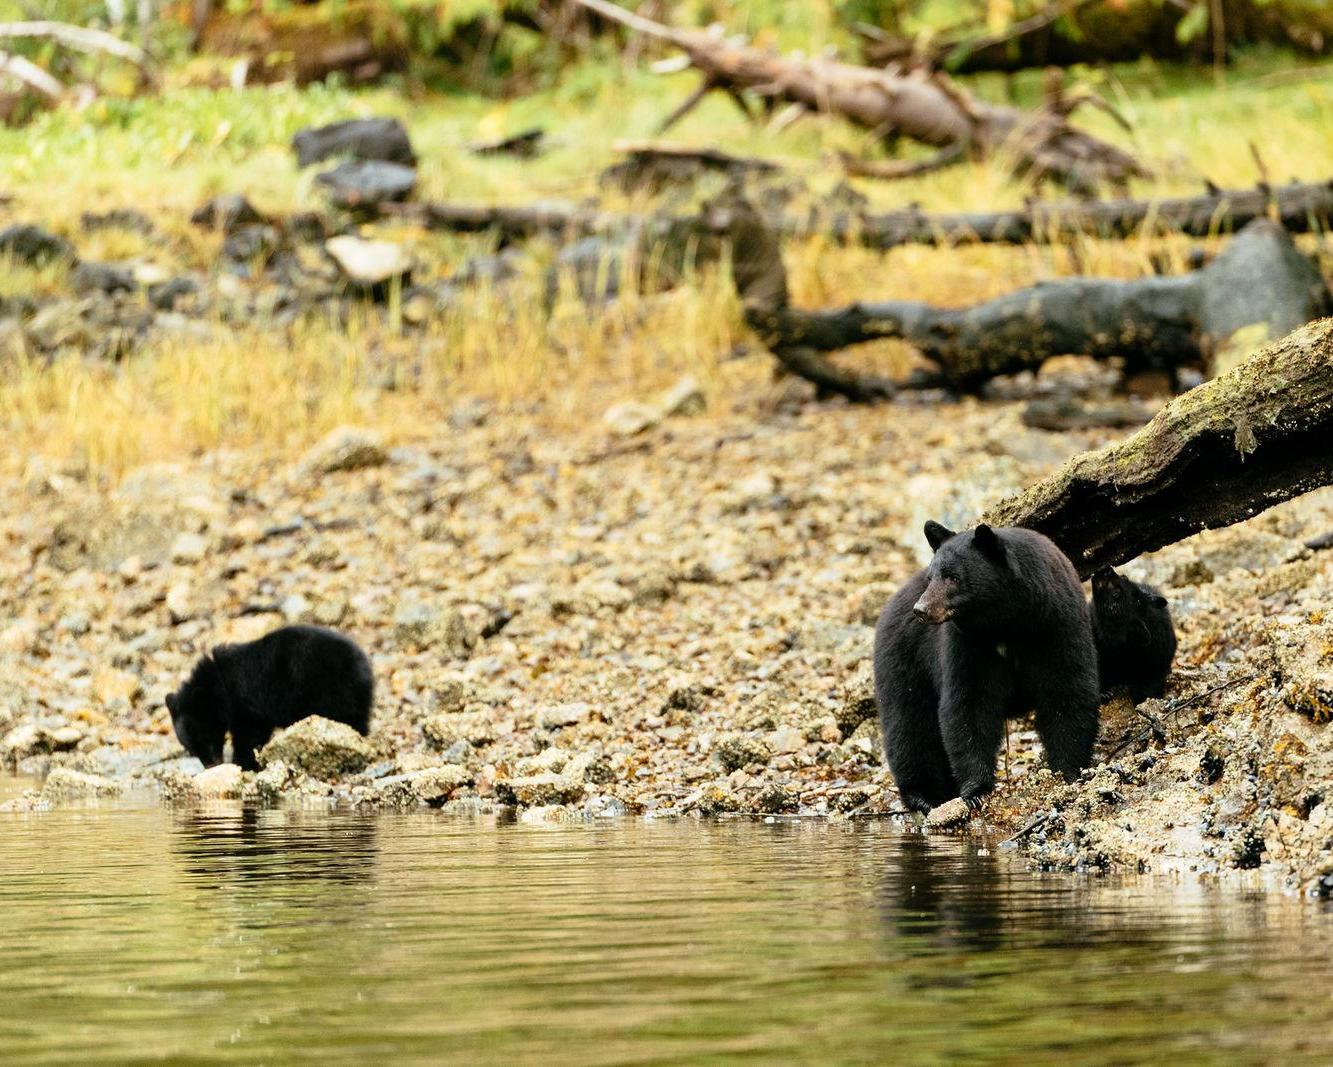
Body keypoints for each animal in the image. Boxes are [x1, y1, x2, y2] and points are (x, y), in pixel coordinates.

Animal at [169, 624, 375, 768]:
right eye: (190, 748)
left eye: (204, 737)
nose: (211, 765)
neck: (218, 683)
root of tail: (363, 668)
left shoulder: (245, 701)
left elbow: (249, 734)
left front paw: (242, 763)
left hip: (328, 690)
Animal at [869, 520, 1098, 810]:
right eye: (932, 577)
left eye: (953, 577)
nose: (921, 609)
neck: (1005, 623)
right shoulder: (967, 645)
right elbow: (968, 704)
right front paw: (975, 790)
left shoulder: (1056, 626)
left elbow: (1066, 689)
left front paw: (1068, 771)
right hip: (904, 660)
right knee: (909, 724)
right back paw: (924, 795)